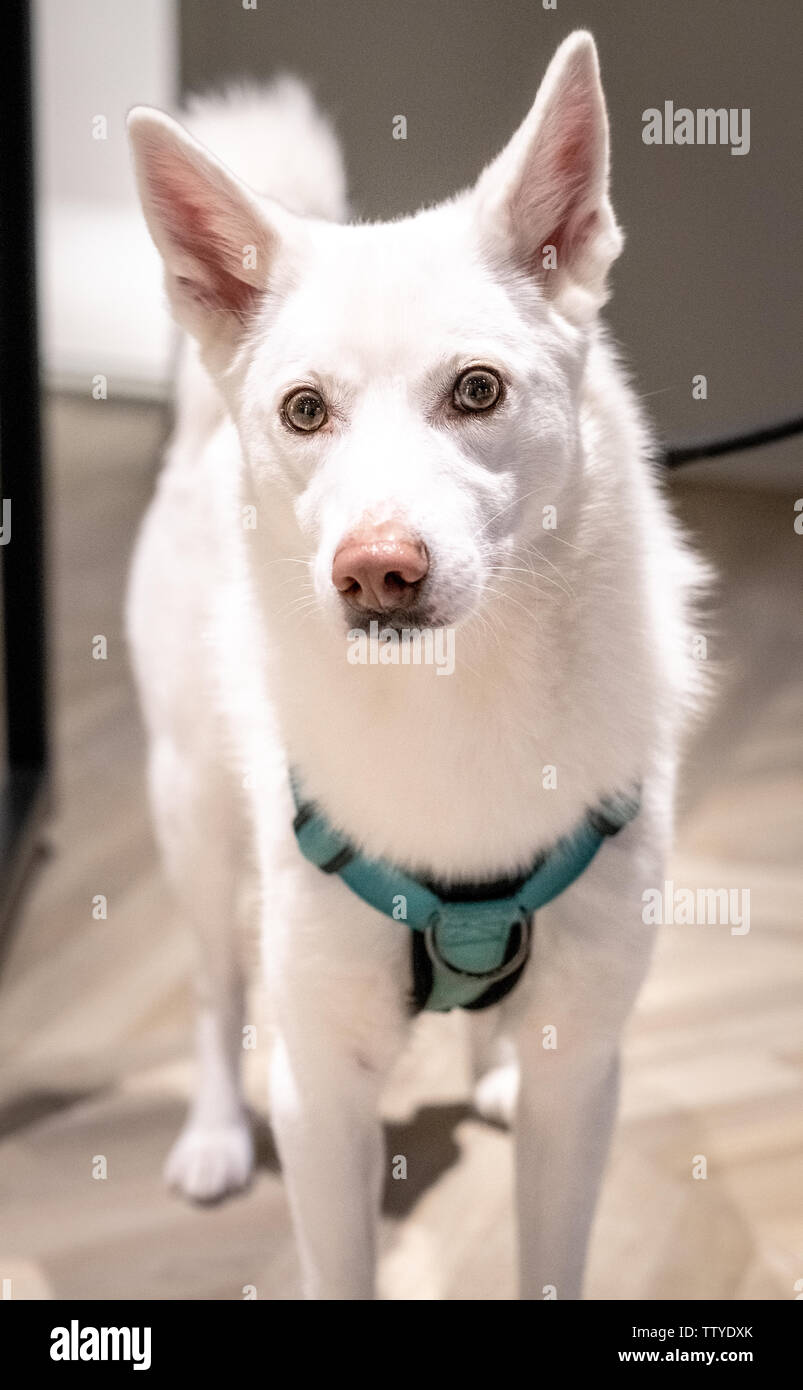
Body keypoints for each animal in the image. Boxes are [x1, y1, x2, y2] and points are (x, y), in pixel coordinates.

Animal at [125, 29, 700, 1301]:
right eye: (303, 411)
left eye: (475, 390)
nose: (375, 573)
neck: (455, 696)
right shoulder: (318, 1092)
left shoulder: (584, 1079)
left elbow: (551, 1254)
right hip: (190, 810)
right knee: (209, 985)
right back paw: (208, 1133)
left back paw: (487, 1064)